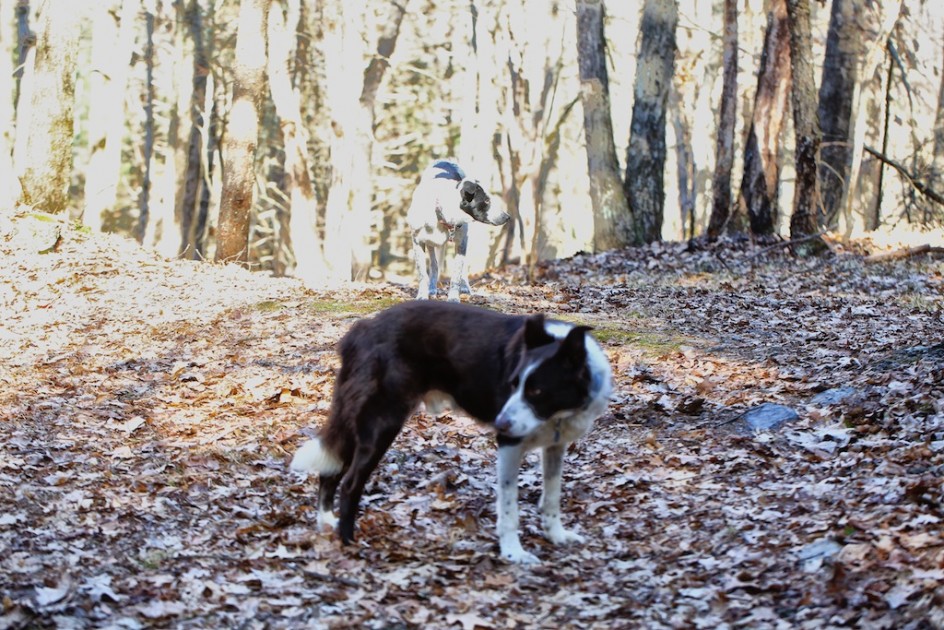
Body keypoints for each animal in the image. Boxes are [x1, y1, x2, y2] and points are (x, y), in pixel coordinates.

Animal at [290, 302, 612, 568]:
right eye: (514, 384)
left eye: (537, 391)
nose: (498, 423)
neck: (559, 412)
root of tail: (362, 329)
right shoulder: (509, 445)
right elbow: (510, 509)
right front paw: (513, 552)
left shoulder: (556, 444)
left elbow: (552, 497)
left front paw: (556, 535)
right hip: (381, 423)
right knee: (350, 484)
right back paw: (349, 543)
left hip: (355, 422)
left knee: (330, 471)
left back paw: (326, 521)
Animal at [406, 160, 508, 304]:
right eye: (486, 200)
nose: (507, 217)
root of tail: (446, 160)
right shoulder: (417, 241)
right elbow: (423, 274)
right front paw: (422, 295)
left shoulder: (461, 242)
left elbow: (456, 274)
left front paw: (454, 297)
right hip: (431, 243)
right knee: (434, 264)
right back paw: (432, 288)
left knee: (462, 269)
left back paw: (465, 287)